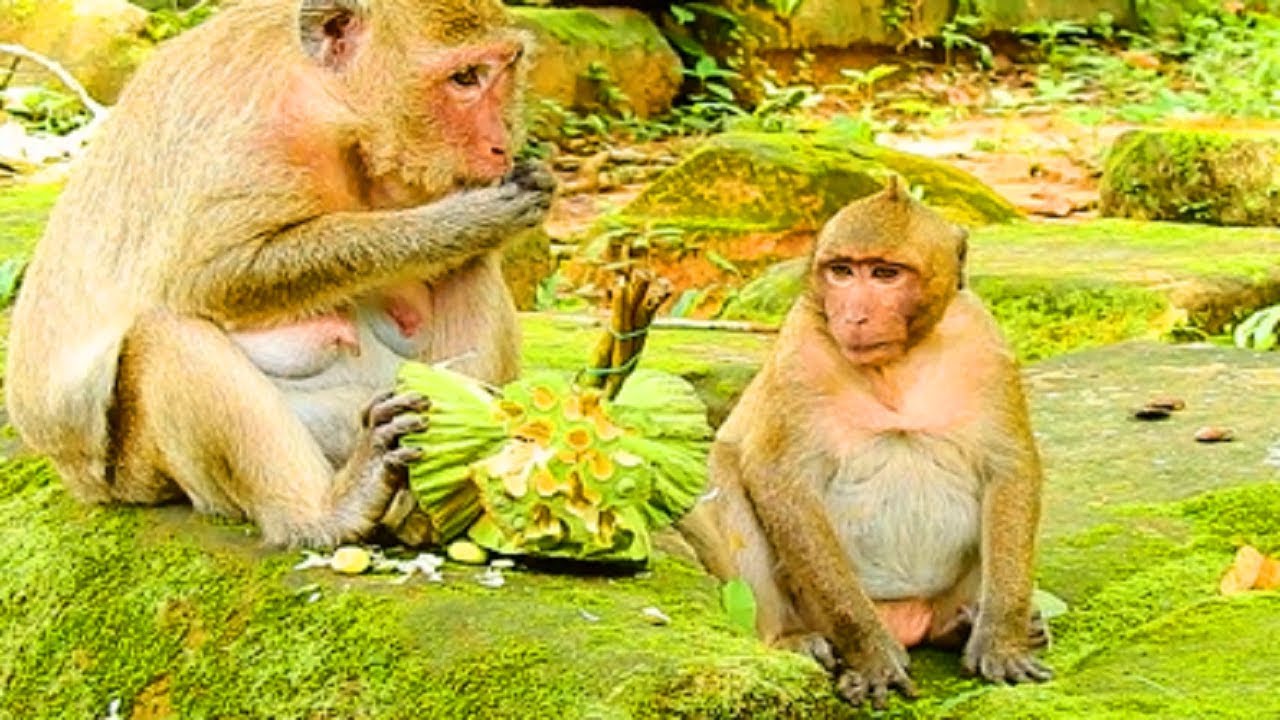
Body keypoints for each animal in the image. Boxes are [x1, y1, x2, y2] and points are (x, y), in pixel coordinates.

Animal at [4, 0, 553, 548]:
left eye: (505, 69)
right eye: (464, 78)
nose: (501, 145)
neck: (337, 113)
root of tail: (77, 477)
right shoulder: (252, 131)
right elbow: (212, 277)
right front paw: (465, 219)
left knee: (473, 266)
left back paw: (432, 502)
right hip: (139, 470)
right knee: (166, 336)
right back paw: (327, 513)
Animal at [684, 177, 1051, 708]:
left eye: (884, 273)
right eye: (841, 271)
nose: (854, 316)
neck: (895, 364)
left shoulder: (985, 345)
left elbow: (1011, 468)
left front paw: (1002, 640)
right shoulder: (800, 352)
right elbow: (779, 481)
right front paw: (871, 653)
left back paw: (963, 625)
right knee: (724, 472)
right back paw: (793, 638)